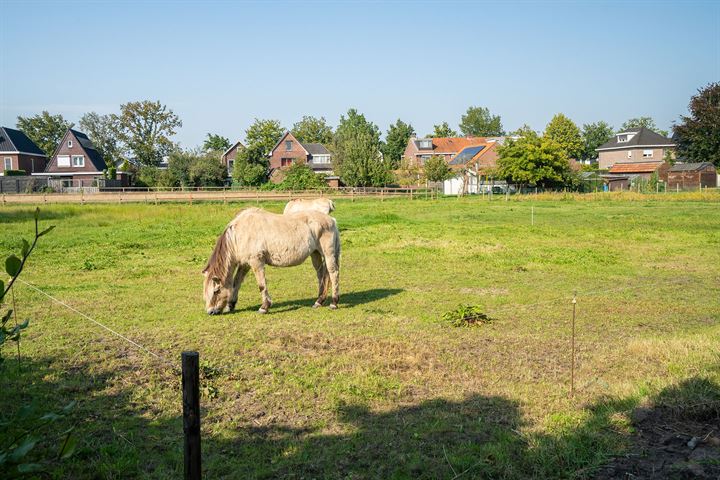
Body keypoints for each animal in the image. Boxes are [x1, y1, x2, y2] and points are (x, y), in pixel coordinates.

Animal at [200, 207, 340, 316]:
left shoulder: (257, 262)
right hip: (315, 254)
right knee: (321, 275)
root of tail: (331, 220)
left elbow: (261, 285)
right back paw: (319, 301)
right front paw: (231, 305)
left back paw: (334, 303)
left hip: (328, 254)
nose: (211, 312)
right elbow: (236, 283)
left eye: (216, 291)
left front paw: (264, 307)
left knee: (333, 274)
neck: (239, 234)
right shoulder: (244, 264)